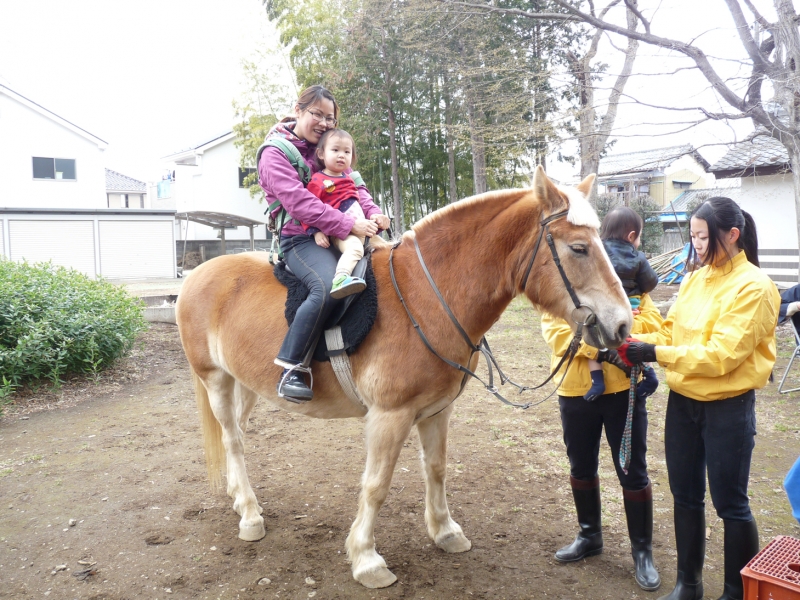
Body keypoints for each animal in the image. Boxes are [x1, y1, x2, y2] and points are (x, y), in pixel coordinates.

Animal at [173, 166, 632, 588]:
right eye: (579, 248)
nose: (623, 325)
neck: (427, 297)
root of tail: (196, 274)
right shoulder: (389, 416)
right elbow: (376, 485)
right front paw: (366, 559)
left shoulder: (437, 411)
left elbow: (437, 468)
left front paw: (445, 531)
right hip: (215, 379)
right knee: (233, 440)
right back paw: (250, 515)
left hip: (246, 383)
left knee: (236, 435)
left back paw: (239, 499)